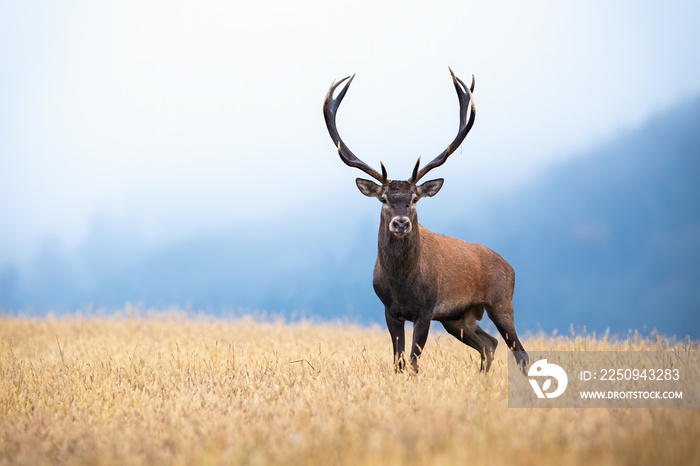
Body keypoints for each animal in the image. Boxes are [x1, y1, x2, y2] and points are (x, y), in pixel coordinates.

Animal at [326, 69, 528, 374]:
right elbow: (398, 361)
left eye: (414, 199)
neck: (402, 284)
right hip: (458, 317)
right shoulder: (390, 311)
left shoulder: (426, 309)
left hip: (501, 302)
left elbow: (412, 361)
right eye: (383, 198)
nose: (400, 223)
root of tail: (510, 267)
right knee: (489, 343)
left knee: (518, 350)